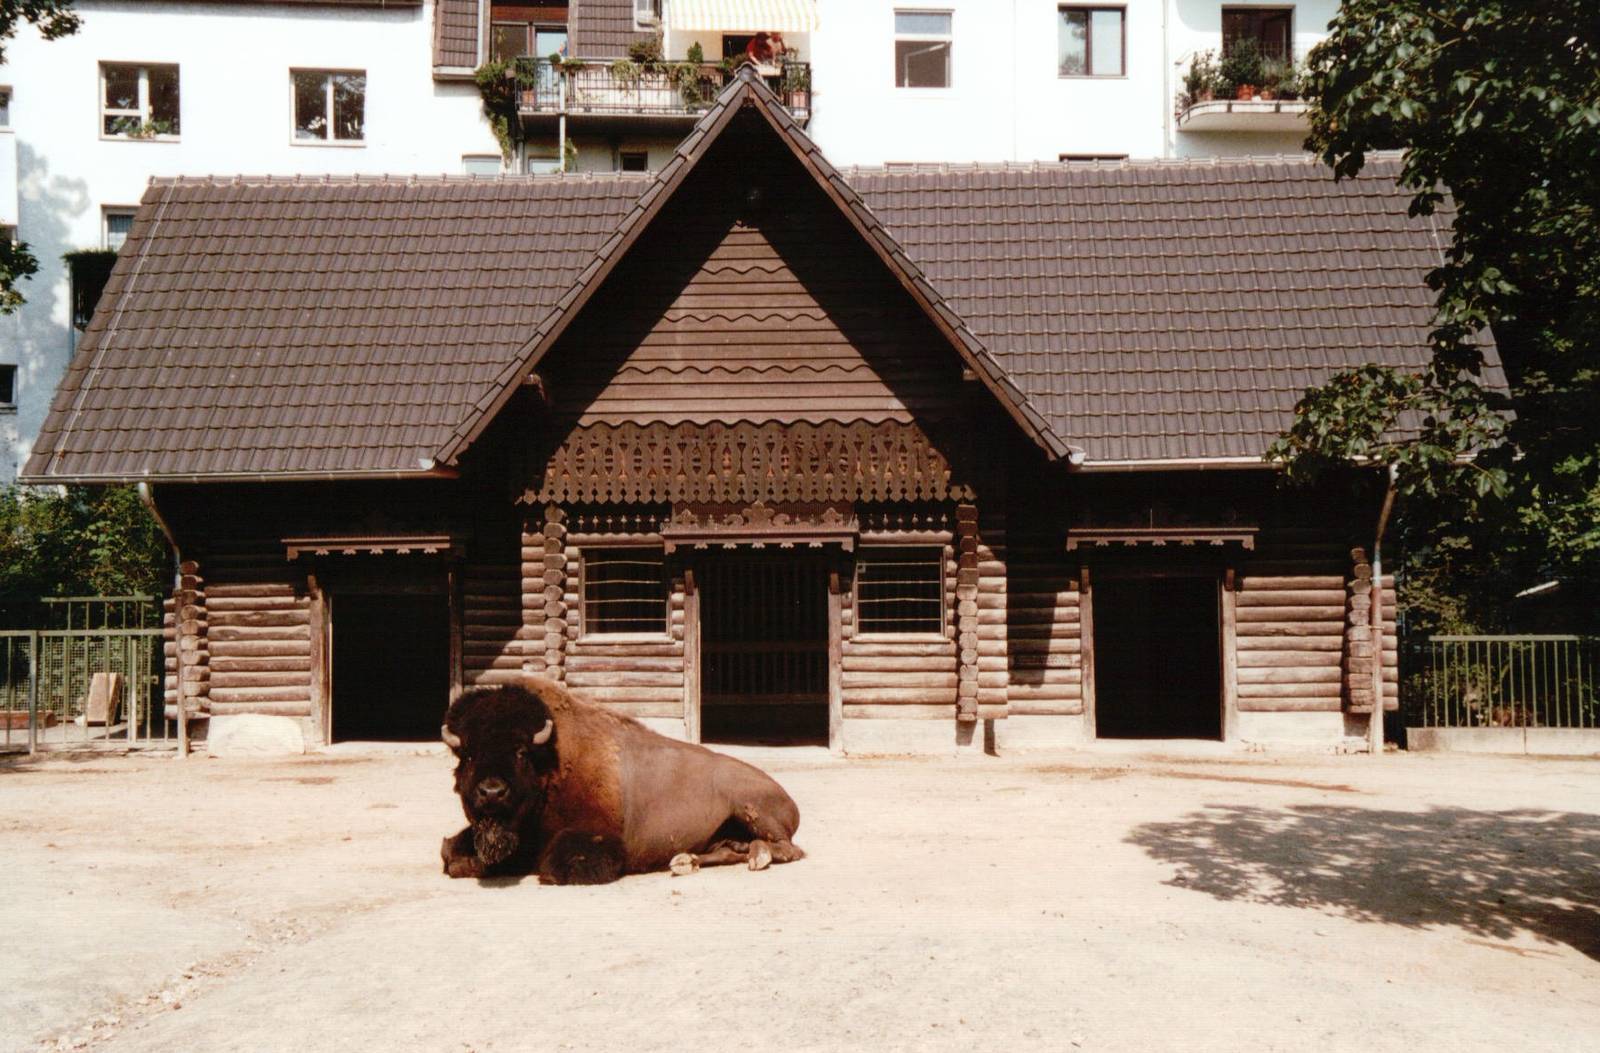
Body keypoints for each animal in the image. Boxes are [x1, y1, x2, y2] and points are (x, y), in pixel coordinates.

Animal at [440, 677, 804, 884]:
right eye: (468, 754)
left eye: (520, 751)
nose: (491, 792)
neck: (551, 764)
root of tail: (788, 798)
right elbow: (449, 852)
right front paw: (461, 861)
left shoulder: (596, 839)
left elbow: (555, 864)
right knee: (728, 851)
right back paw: (685, 862)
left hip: (751, 808)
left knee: (789, 849)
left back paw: (758, 857)